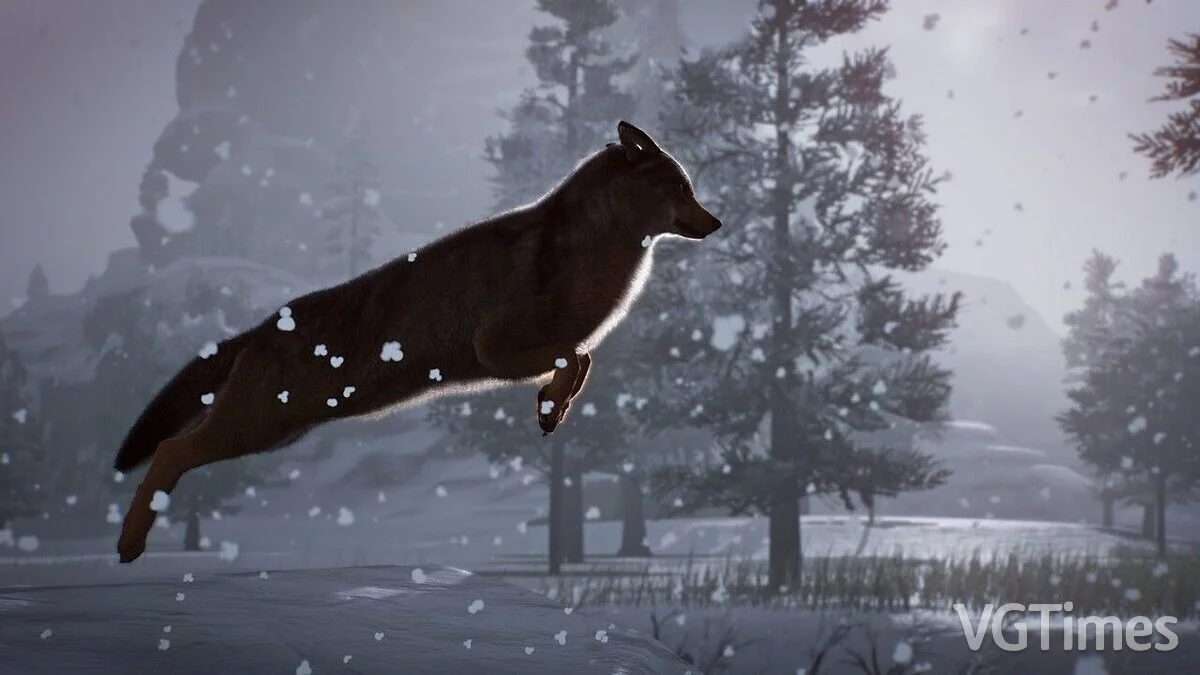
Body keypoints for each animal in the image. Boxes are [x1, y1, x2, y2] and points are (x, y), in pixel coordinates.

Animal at [111, 120, 721, 563]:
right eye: (683, 188)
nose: (716, 223)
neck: (597, 253)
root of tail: (259, 327)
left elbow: (583, 360)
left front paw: (552, 411)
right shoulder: (494, 347)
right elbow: (574, 356)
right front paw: (551, 404)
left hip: (273, 433)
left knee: (176, 453)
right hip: (255, 426)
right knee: (169, 451)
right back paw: (128, 545)